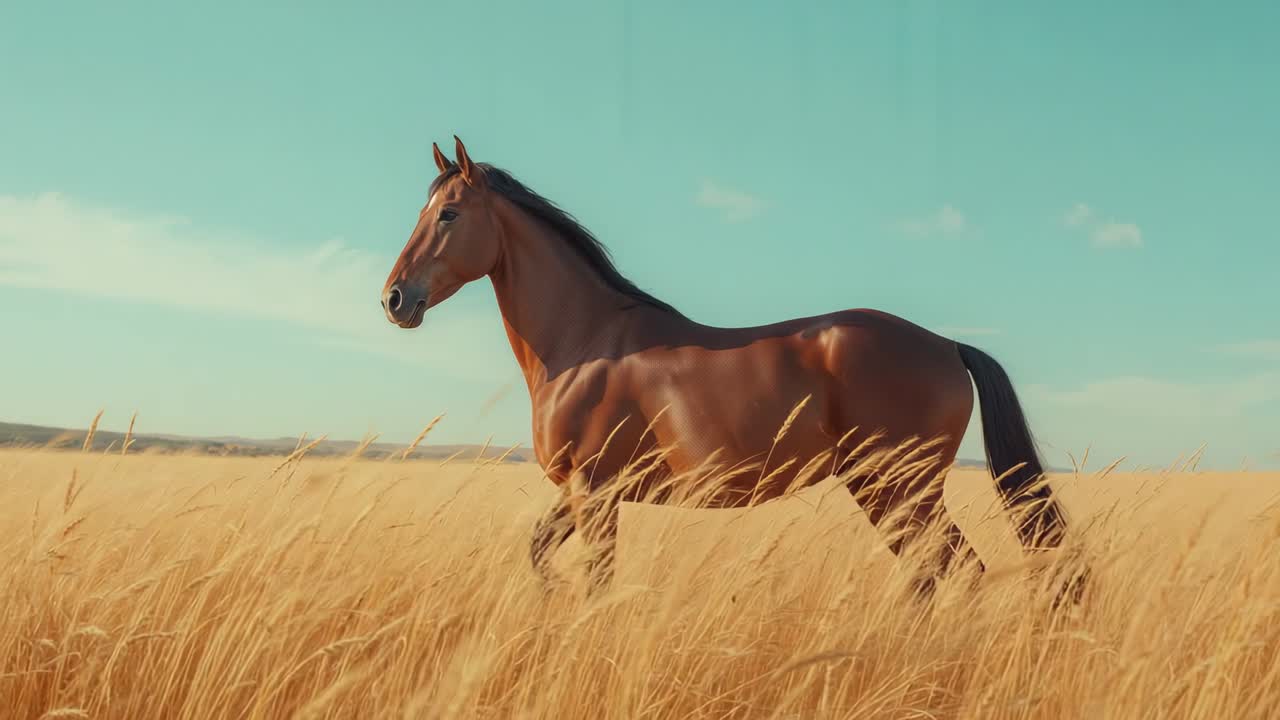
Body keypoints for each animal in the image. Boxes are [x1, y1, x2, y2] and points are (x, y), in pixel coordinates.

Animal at [381, 136, 1081, 601]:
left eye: (447, 214)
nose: (394, 299)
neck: (585, 342)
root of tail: (946, 344)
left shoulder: (597, 494)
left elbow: (596, 583)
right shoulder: (578, 494)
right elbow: (540, 557)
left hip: (899, 488)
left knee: (952, 572)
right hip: (886, 489)